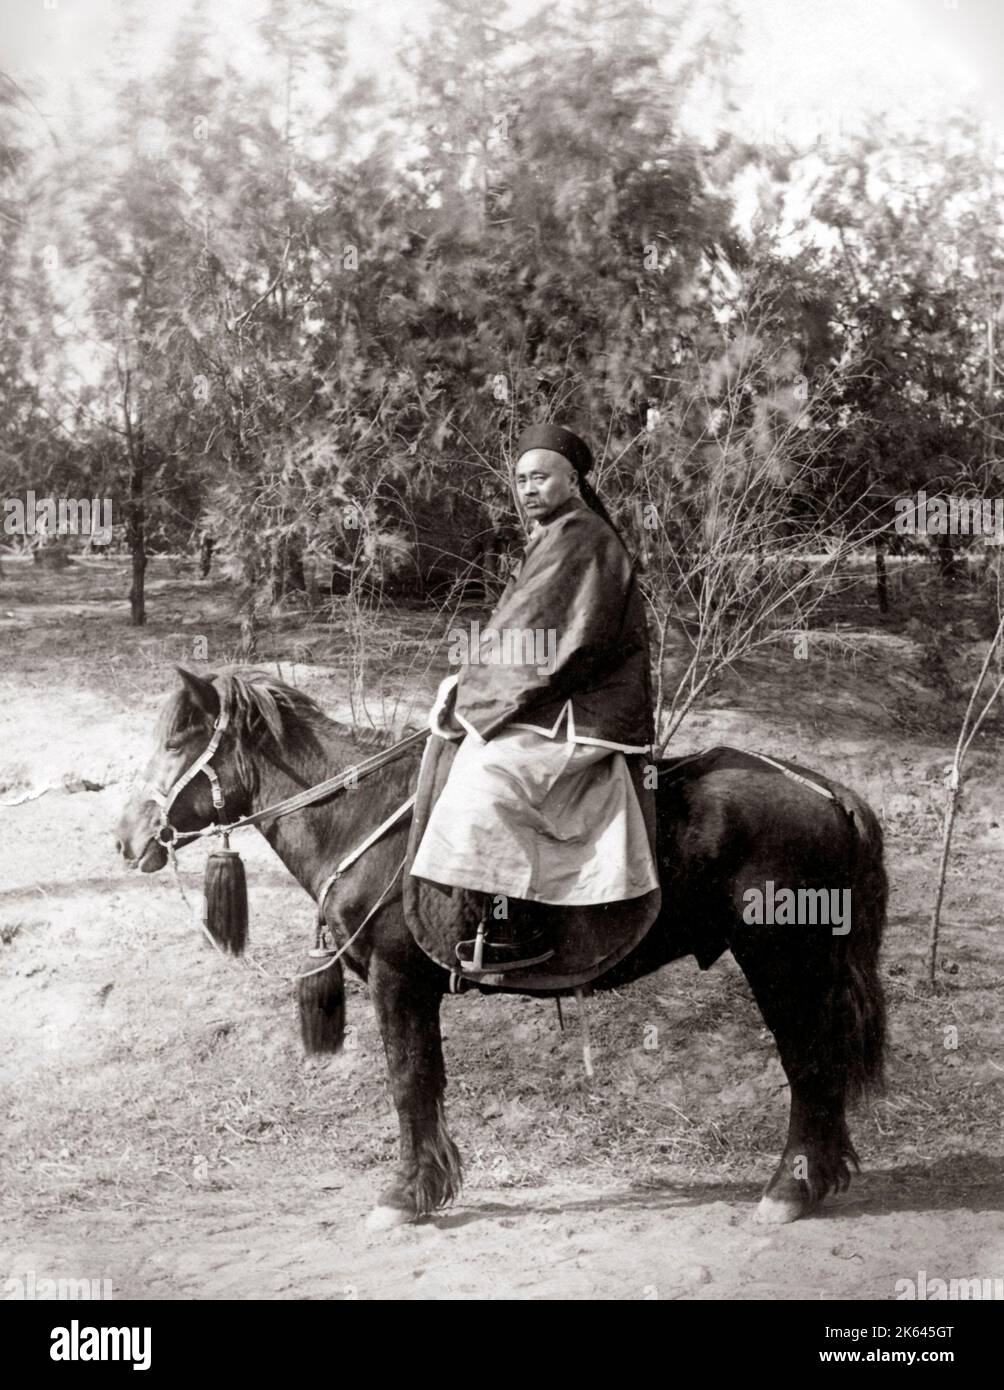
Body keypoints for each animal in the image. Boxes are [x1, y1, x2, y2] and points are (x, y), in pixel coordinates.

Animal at [117, 669, 884, 1228]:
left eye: (179, 742)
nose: (127, 838)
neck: (370, 815)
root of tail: (824, 790)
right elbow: (427, 1083)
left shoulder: (399, 982)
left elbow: (409, 1082)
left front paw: (406, 1194)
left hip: (783, 963)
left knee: (809, 1062)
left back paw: (791, 1187)